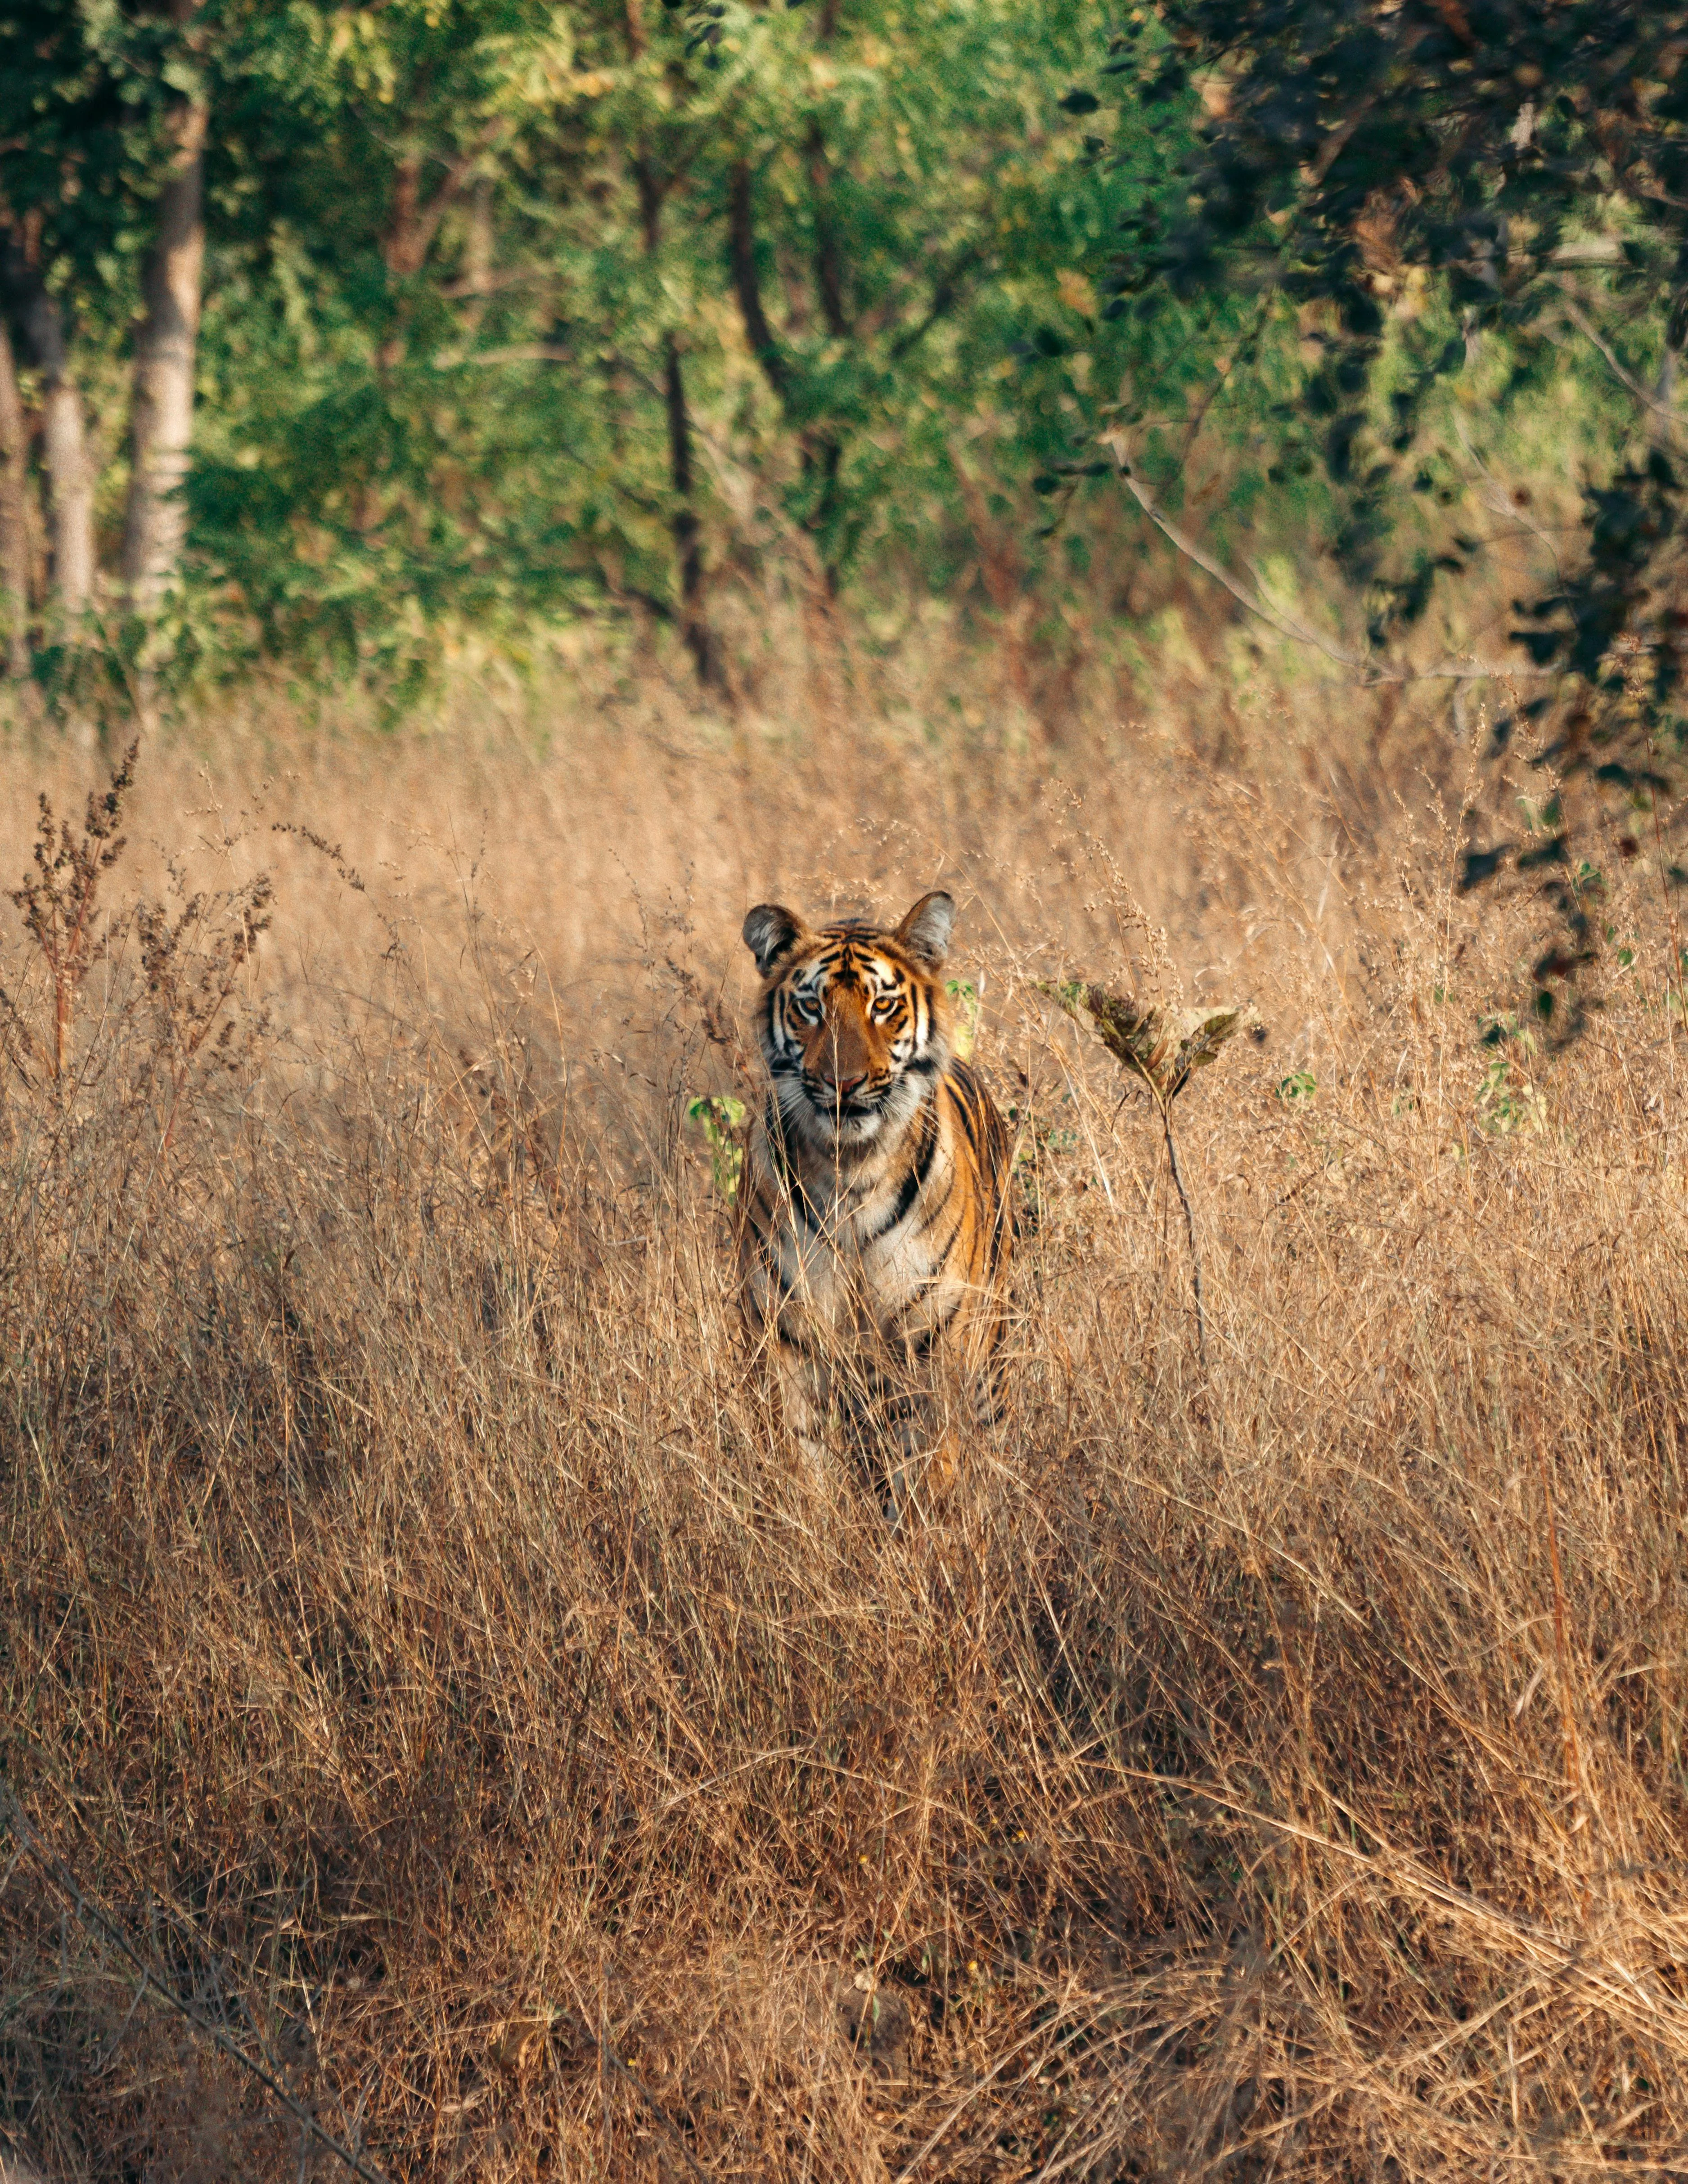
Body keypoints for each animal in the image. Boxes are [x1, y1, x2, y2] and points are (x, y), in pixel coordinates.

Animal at [737, 888, 1013, 1514]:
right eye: (810, 1007)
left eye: (883, 1006)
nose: (843, 1085)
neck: (851, 1173)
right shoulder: (790, 1343)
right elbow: (804, 1465)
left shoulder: (933, 1347)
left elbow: (928, 1475)